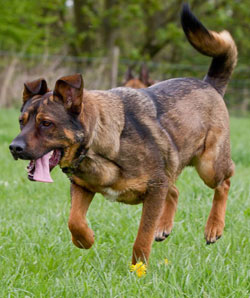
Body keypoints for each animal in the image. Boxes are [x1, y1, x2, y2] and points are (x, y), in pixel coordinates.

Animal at [9, 4, 236, 264]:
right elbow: (74, 220)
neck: (96, 146)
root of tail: (210, 84)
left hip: (209, 165)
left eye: (46, 123)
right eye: (21, 122)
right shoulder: (82, 186)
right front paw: (86, 239)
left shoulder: (155, 187)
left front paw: (139, 268)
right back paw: (164, 226)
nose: (14, 148)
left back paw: (214, 227)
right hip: (173, 165)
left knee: (225, 182)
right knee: (176, 190)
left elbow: (142, 236)